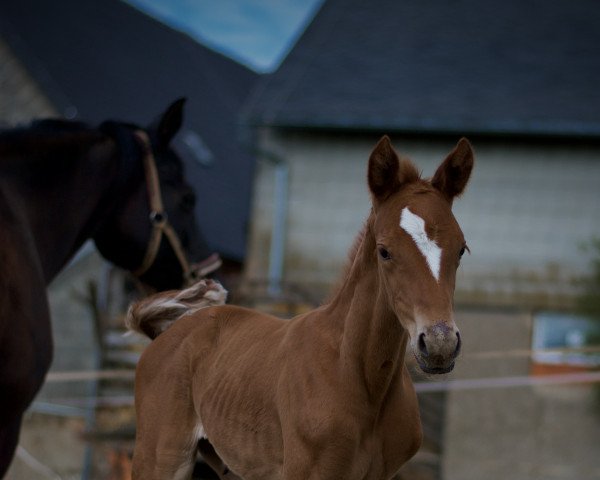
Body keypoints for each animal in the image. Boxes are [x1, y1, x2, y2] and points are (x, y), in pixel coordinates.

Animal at [127, 136, 474, 480]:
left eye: (461, 249)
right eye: (384, 251)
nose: (440, 344)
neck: (356, 375)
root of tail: (167, 333)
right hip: (161, 459)